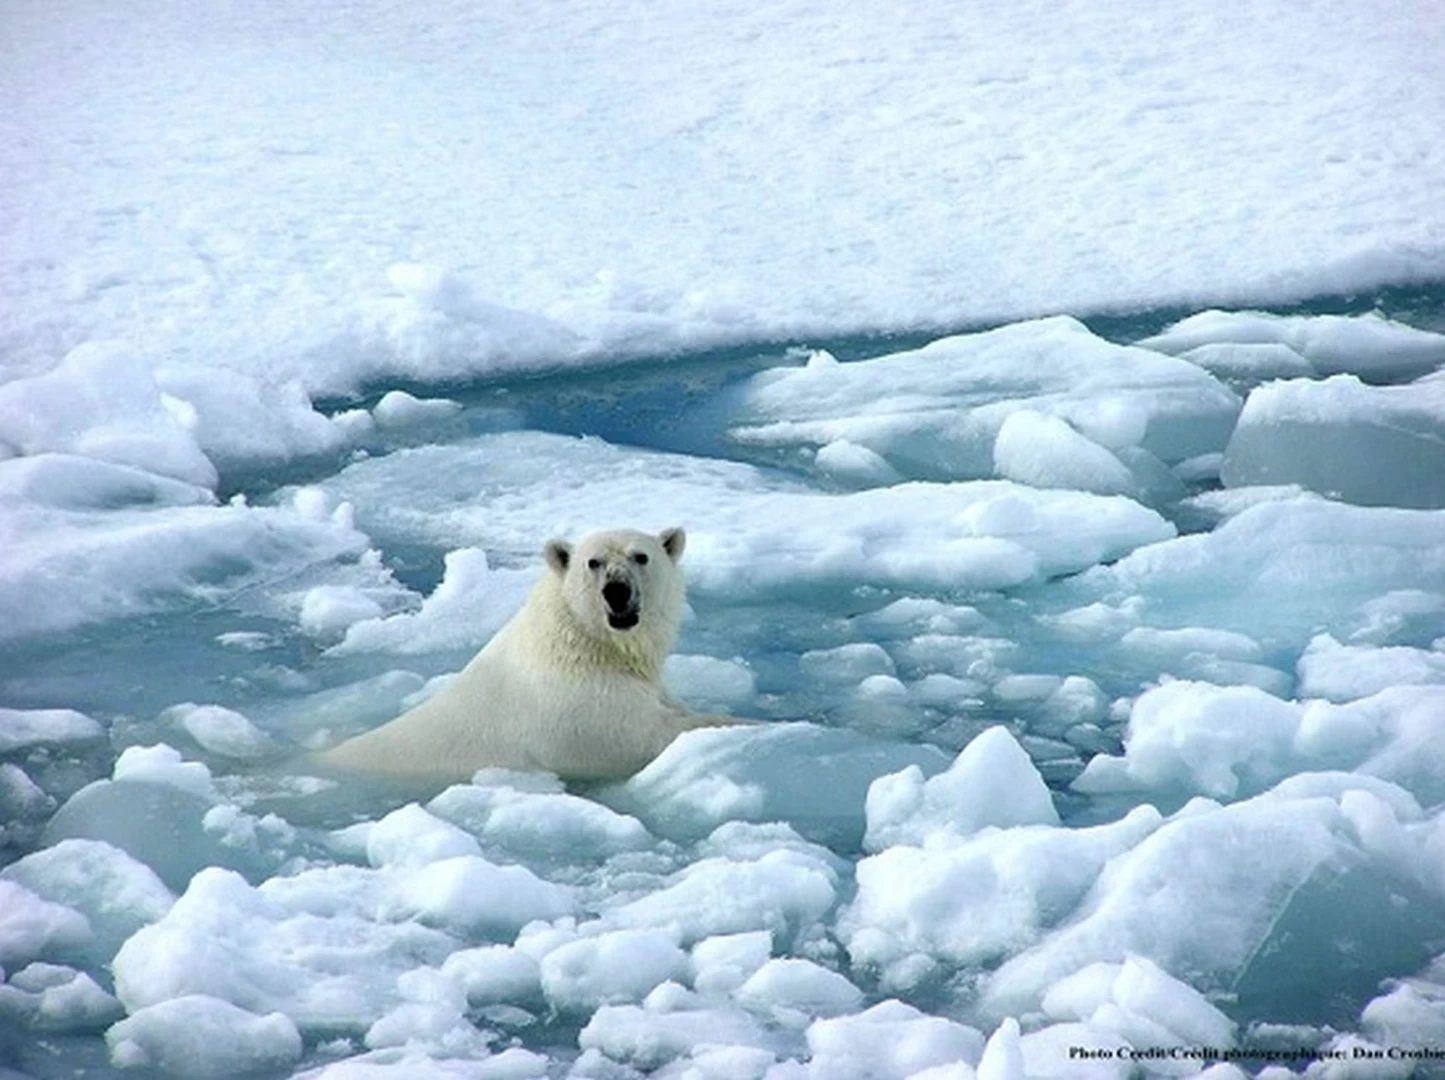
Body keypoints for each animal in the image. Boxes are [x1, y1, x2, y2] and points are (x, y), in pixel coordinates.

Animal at [316, 529, 734, 780]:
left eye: (641, 557)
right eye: (593, 562)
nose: (616, 591)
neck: (583, 645)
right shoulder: (579, 710)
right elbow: (645, 736)